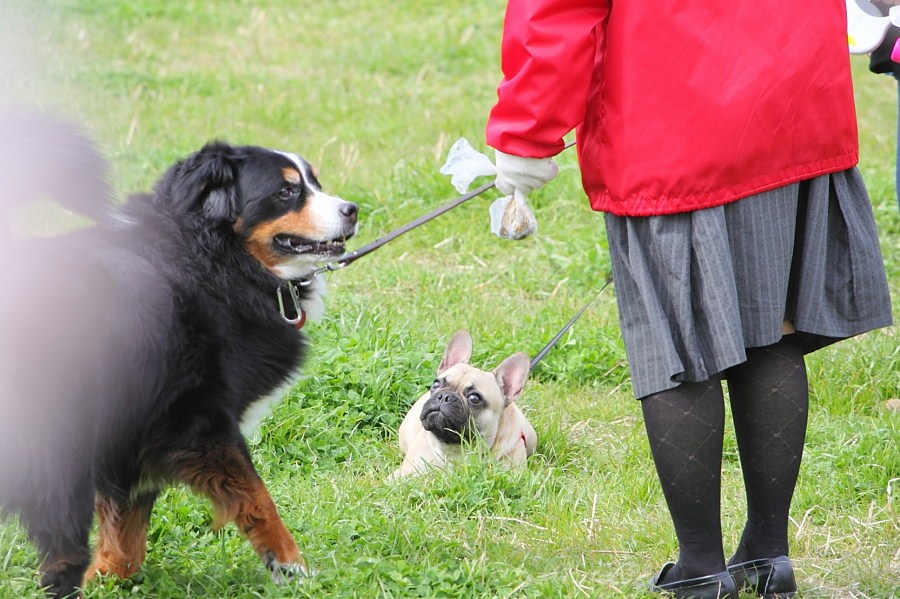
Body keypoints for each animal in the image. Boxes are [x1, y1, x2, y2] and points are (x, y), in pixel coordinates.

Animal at [0, 119, 358, 596]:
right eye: (286, 192)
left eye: (314, 182)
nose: (352, 209)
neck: (211, 257)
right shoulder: (196, 420)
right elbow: (258, 498)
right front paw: (291, 566)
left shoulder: (131, 435)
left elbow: (126, 530)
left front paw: (109, 577)